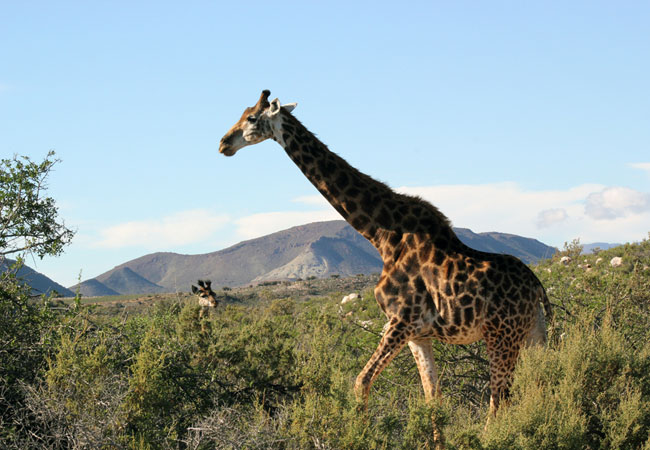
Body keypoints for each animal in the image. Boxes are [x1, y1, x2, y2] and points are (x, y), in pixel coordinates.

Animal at [219, 90, 552, 418]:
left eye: (251, 118)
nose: (223, 143)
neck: (382, 237)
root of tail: (537, 286)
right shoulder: (419, 334)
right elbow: (433, 399)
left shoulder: (400, 320)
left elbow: (361, 382)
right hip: (531, 334)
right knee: (536, 385)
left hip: (501, 336)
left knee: (498, 404)